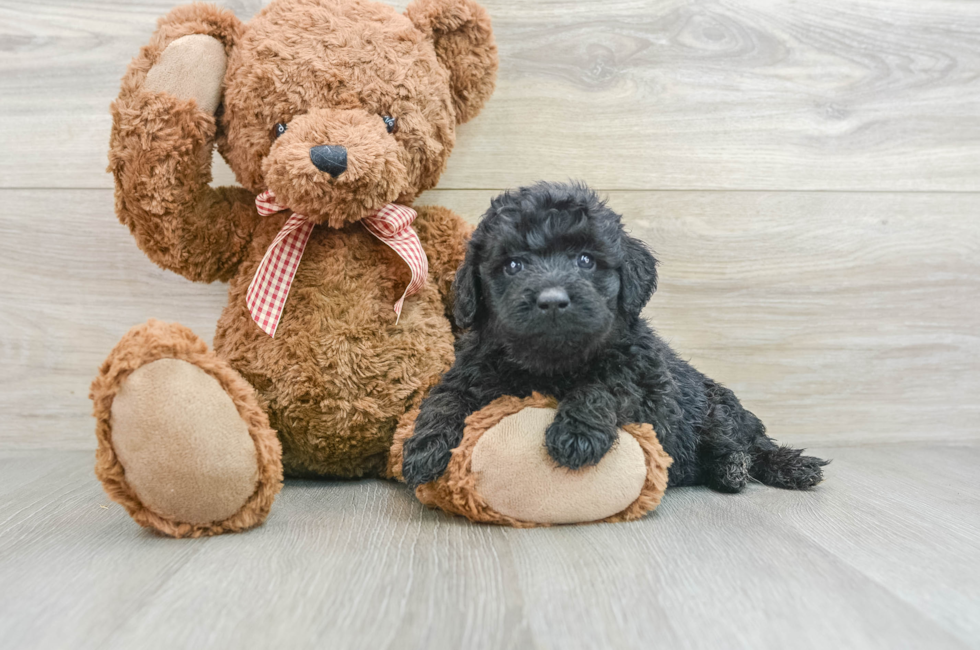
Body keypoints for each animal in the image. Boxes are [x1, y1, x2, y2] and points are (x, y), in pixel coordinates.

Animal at [402, 182, 824, 492]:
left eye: (586, 260)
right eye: (513, 265)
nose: (552, 301)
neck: (551, 365)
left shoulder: (648, 389)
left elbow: (604, 384)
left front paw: (576, 434)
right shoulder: (470, 372)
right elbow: (443, 400)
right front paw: (424, 448)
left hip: (717, 410)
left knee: (752, 445)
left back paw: (765, 466)